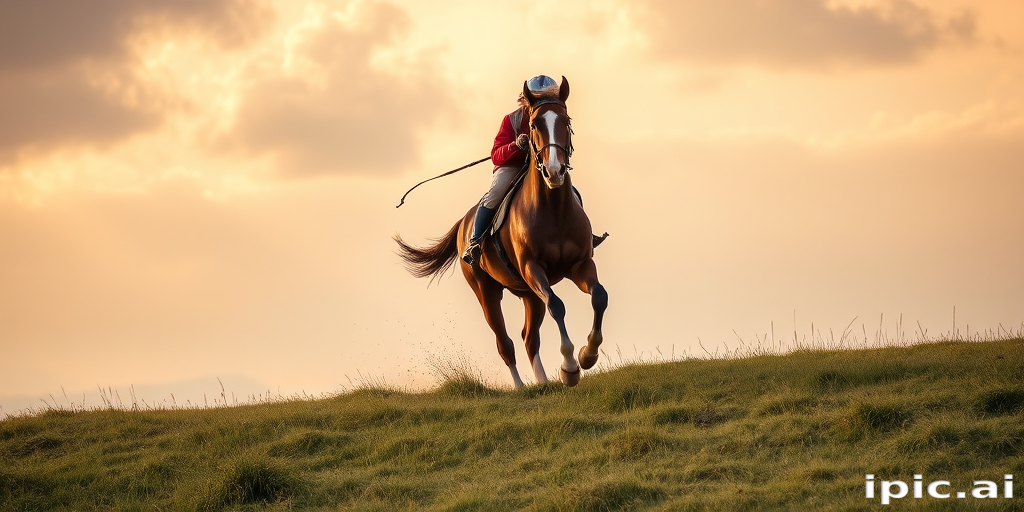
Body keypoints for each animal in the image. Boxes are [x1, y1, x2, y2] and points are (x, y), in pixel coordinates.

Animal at [394, 76, 607, 388]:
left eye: (566, 121)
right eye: (533, 125)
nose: (554, 171)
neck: (554, 210)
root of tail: (464, 223)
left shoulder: (580, 264)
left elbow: (599, 296)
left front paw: (587, 354)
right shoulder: (533, 268)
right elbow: (558, 305)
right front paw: (569, 368)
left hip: (528, 294)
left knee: (529, 338)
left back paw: (542, 382)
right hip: (487, 291)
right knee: (505, 343)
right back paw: (520, 388)